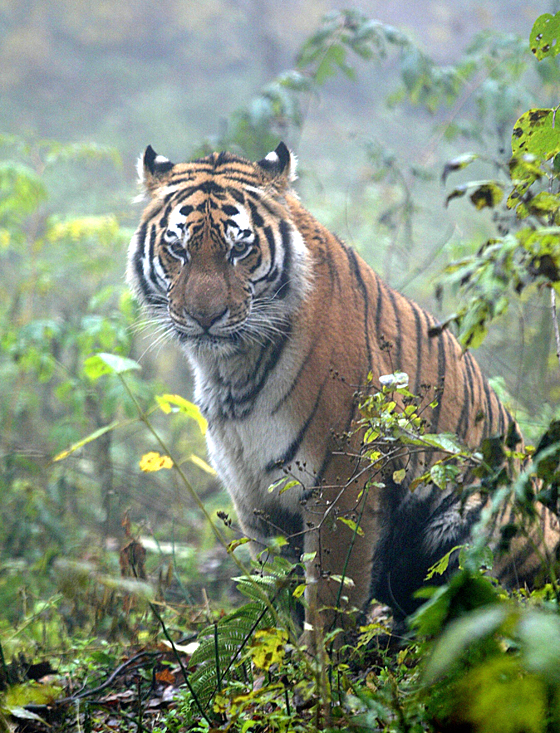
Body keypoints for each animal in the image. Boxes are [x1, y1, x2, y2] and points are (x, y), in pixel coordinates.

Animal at [128, 142, 560, 636]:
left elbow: (329, 598)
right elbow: (283, 591)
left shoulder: (341, 480)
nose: (204, 316)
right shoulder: (253, 495)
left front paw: (320, 657)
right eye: (177, 249)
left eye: (240, 249)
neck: (231, 372)